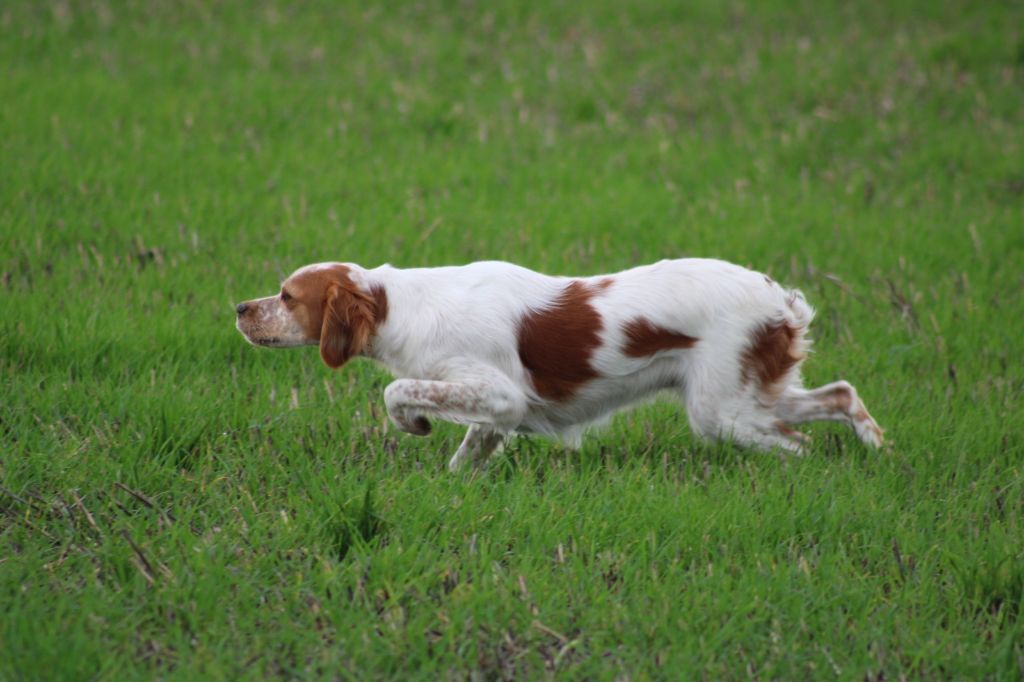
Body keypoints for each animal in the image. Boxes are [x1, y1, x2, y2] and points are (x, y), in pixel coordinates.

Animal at [236, 259, 883, 470]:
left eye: (287, 296)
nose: (240, 308)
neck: (400, 306)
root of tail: (779, 300)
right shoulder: (493, 413)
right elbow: (465, 457)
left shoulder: (501, 394)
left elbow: (397, 392)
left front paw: (413, 423)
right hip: (748, 394)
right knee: (842, 394)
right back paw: (878, 449)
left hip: (723, 410)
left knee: (799, 445)